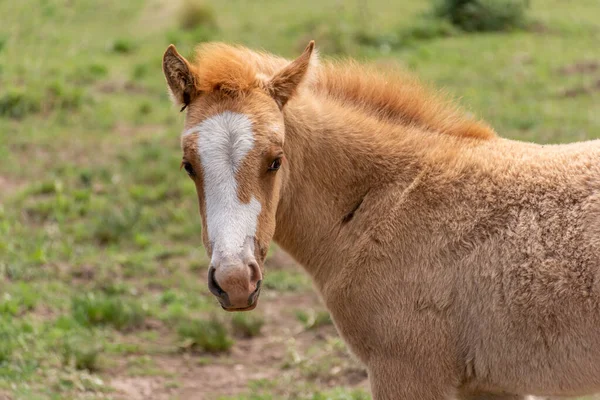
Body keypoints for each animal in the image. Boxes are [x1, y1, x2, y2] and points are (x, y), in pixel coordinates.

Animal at [161, 41, 600, 400]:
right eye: (188, 166)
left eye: (275, 160)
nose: (235, 281)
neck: (387, 200)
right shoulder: (489, 385)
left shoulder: (406, 371)